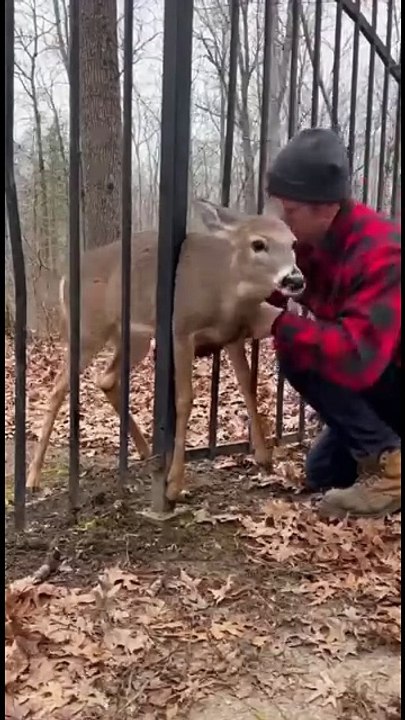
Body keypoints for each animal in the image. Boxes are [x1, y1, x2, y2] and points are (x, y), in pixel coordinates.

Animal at [26, 199, 304, 502]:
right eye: (258, 244)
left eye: (293, 242)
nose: (295, 279)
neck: (225, 296)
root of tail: (65, 277)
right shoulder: (180, 329)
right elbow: (184, 399)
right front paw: (174, 484)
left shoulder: (233, 335)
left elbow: (248, 387)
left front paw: (265, 457)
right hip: (88, 330)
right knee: (57, 389)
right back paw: (33, 477)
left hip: (134, 339)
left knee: (105, 378)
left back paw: (146, 451)